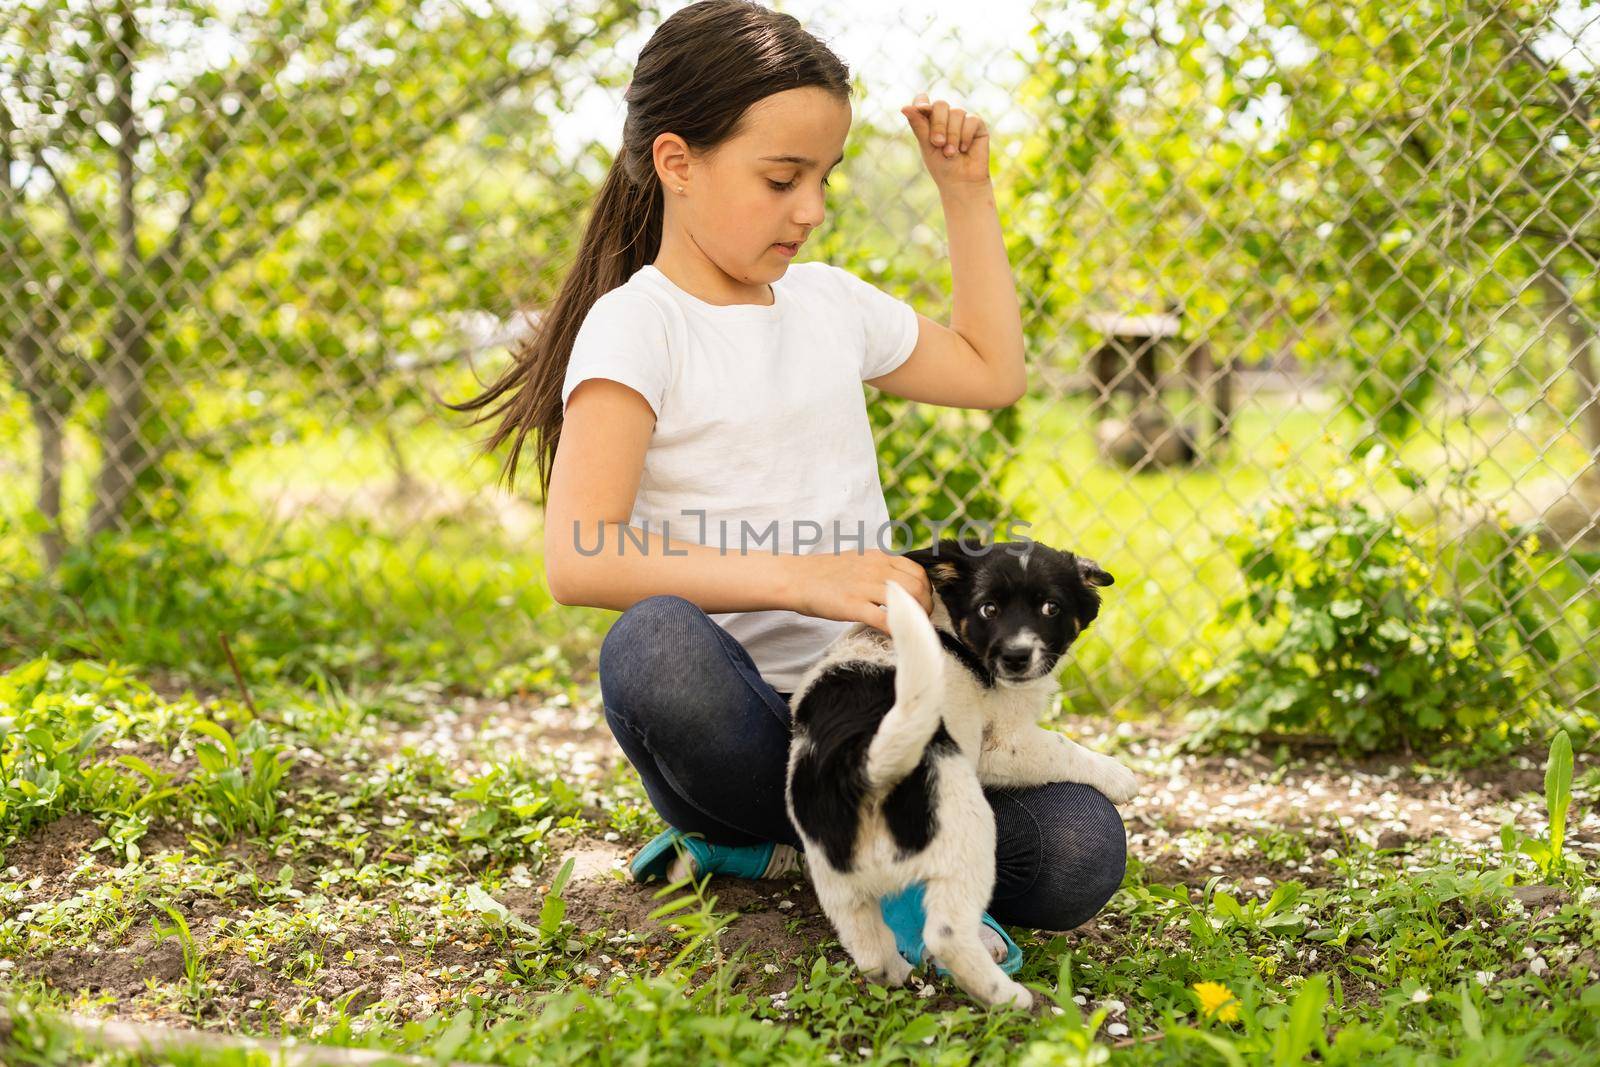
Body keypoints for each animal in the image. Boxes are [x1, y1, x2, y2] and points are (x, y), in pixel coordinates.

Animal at [784, 537, 1139, 1017]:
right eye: (988, 609)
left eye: (1051, 608)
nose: (1016, 657)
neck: (948, 627)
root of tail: (866, 763)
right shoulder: (1000, 744)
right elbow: (1059, 744)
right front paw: (1119, 776)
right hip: (967, 833)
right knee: (946, 934)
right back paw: (1008, 995)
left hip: (834, 874)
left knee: (866, 945)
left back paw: (896, 972)